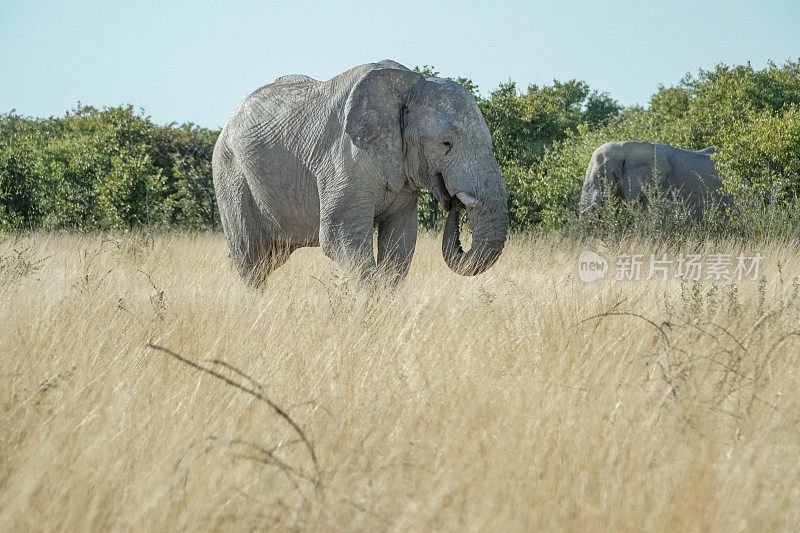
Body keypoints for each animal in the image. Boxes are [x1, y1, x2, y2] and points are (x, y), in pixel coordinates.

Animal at [214, 58, 506, 284]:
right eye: (446, 144)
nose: (455, 203)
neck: (411, 84)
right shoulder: (344, 157)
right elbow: (339, 237)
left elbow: (400, 241)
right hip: (229, 173)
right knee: (252, 259)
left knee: (270, 258)